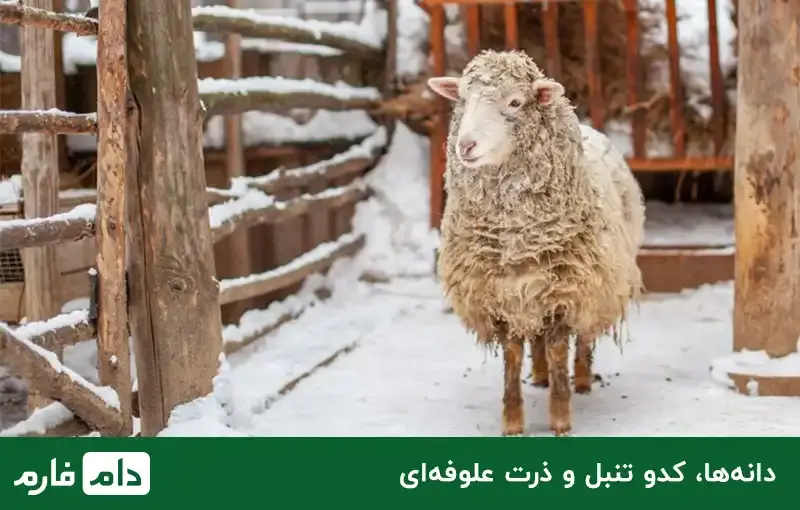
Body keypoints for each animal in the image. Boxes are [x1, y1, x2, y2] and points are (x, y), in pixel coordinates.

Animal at [427, 50, 645, 437]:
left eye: (515, 102)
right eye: (462, 99)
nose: (465, 146)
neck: (517, 238)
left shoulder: (566, 291)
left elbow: (559, 348)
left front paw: (560, 417)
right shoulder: (500, 295)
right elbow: (513, 355)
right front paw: (513, 420)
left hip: (598, 278)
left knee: (583, 336)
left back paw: (583, 378)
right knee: (537, 337)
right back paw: (541, 375)